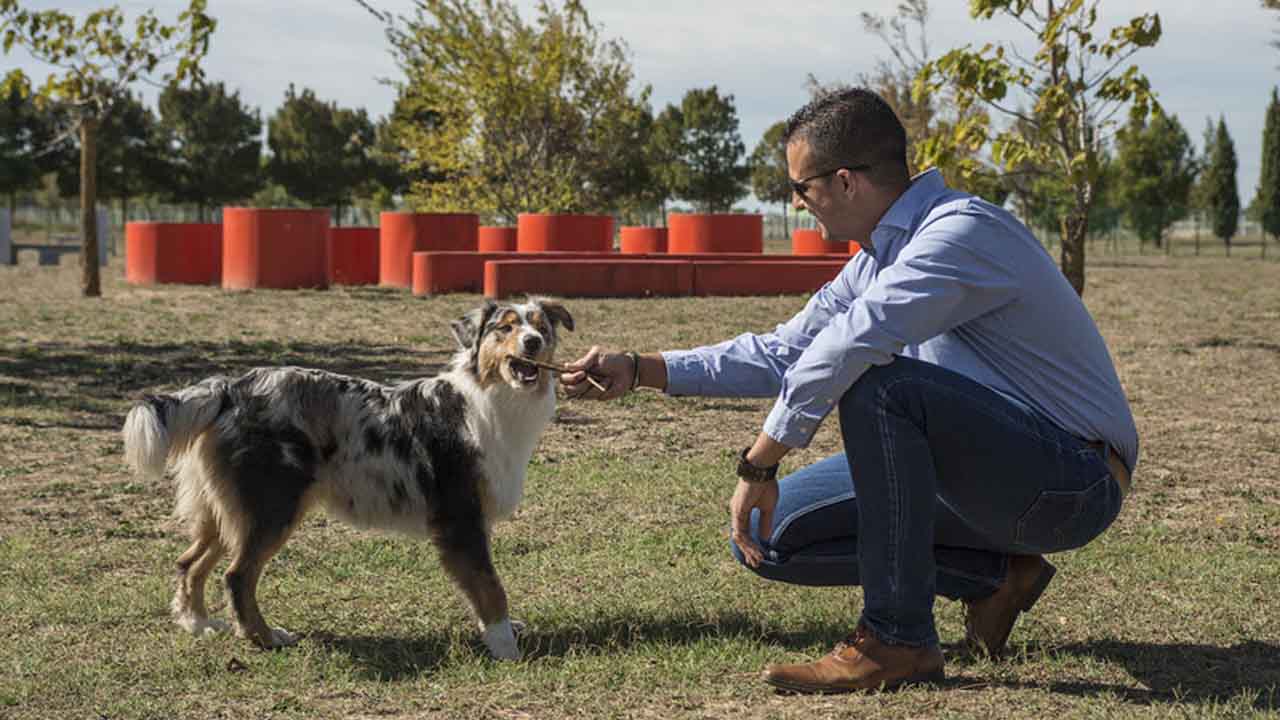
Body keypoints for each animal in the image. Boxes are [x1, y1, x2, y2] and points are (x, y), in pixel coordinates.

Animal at [123, 295, 576, 655]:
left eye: (541, 326)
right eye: (506, 327)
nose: (533, 343)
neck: (490, 400)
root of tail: (231, 387)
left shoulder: (474, 519)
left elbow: (483, 583)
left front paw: (502, 632)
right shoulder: (459, 517)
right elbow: (489, 584)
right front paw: (504, 645)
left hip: (228, 509)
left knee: (190, 562)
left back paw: (198, 624)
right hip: (271, 509)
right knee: (237, 577)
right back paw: (265, 638)